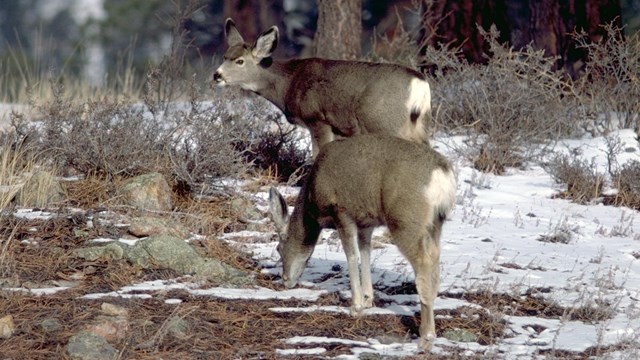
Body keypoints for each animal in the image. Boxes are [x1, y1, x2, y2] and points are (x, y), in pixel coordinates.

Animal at [214, 18, 430, 156]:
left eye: (240, 61)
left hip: (384, 121)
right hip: (416, 125)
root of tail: (420, 84)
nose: (217, 75)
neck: (288, 83)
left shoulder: (317, 119)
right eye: (224, 56)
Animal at [268, 134, 456, 350]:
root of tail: (443, 175)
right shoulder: (366, 222)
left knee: (424, 263)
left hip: (405, 219)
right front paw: (367, 299)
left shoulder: (341, 211)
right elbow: (365, 252)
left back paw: (426, 337)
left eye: (279, 248)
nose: (285, 280)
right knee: (434, 260)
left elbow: (351, 254)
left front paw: (356, 306)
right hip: (435, 224)